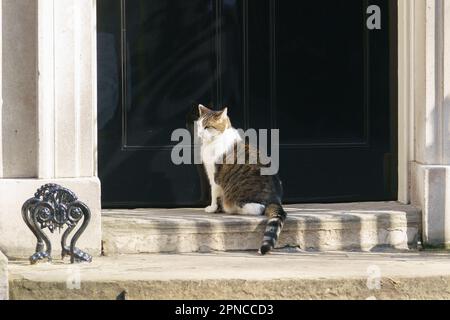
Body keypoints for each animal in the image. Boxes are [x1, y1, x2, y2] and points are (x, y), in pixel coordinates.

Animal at [195, 105, 286, 255]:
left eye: (207, 127)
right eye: (199, 125)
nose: (200, 134)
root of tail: (275, 198)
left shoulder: (214, 175)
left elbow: (214, 194)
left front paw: (212, 208)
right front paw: (216, 208)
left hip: (239, 198)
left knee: (258, 208)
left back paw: (231, 209)